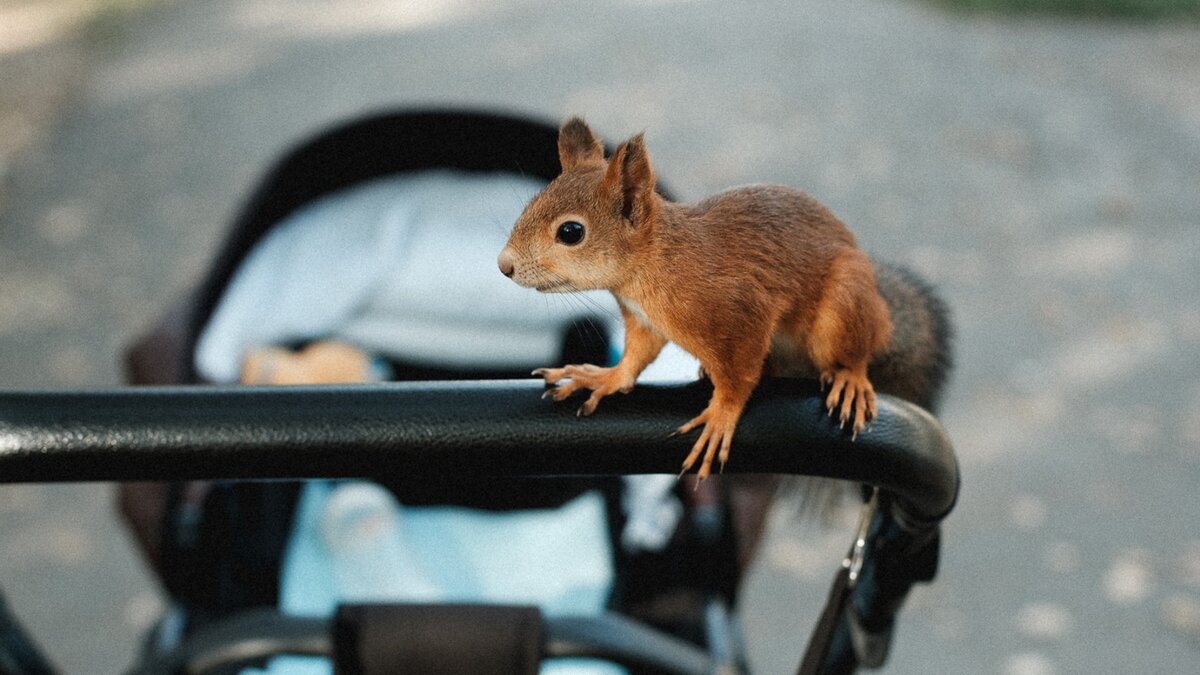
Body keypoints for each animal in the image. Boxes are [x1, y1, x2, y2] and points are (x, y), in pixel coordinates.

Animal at [496, 119, 945, 478]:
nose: (504, 265)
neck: (653, 266)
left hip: (845, 301)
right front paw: (603, 377)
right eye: (532, 203)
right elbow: (636, 358)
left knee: (855, 350)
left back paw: (851, 378)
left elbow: (739, 376)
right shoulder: (644, 320)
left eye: (571, 232)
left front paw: (720, 417)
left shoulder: (741, 314)